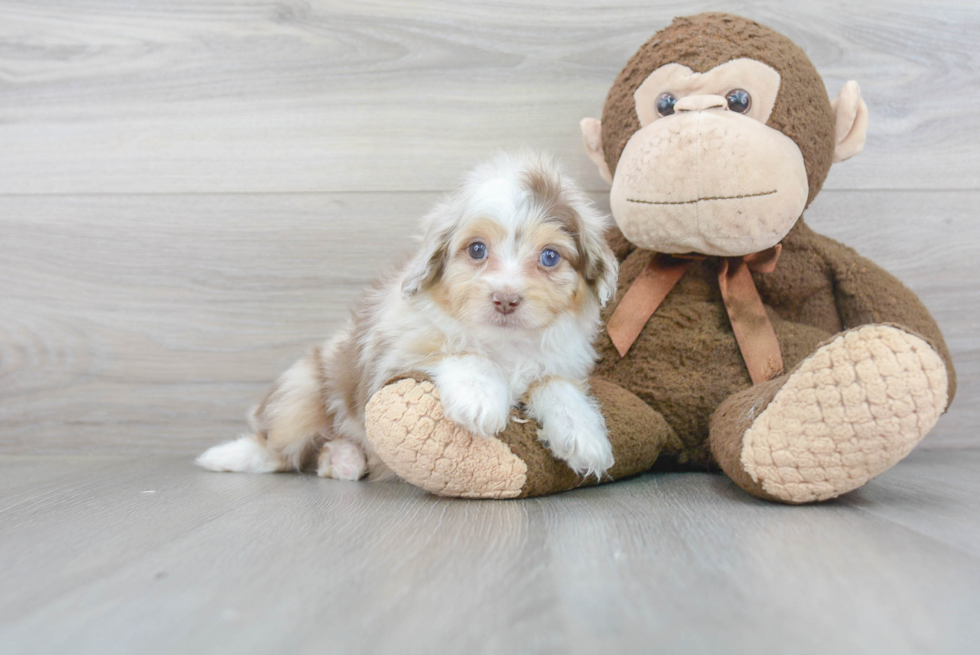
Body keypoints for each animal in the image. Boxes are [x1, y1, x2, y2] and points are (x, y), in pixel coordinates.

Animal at [195, 152, 616, 482]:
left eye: (550, 256)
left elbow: (557, 386)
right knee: (280, 448)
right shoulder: (395, 354)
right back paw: (232, 456)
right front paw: (480, 399)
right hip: (301, 392)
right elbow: (460, 351)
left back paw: (344, 459)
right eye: (477, 250)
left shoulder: (559, 362)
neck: (504, 343)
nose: (506, 299)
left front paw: (585, 436)